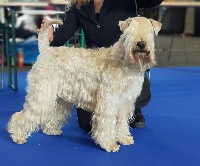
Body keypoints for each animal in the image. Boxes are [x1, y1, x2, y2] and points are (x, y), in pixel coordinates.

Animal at [7, 16, 161, 152]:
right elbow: (107, 123)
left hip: (61, 98)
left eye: (149, 31)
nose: (141, 44)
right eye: (129, 32)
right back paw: (17, 135)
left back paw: (51, 130)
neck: (125, 62)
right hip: (42, 94)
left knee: (54, 115)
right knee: (23, 115)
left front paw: (124, 138)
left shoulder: (125, 102)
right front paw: (109, 144)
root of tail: (45, 50)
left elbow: (122, 123)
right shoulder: (109, 101)